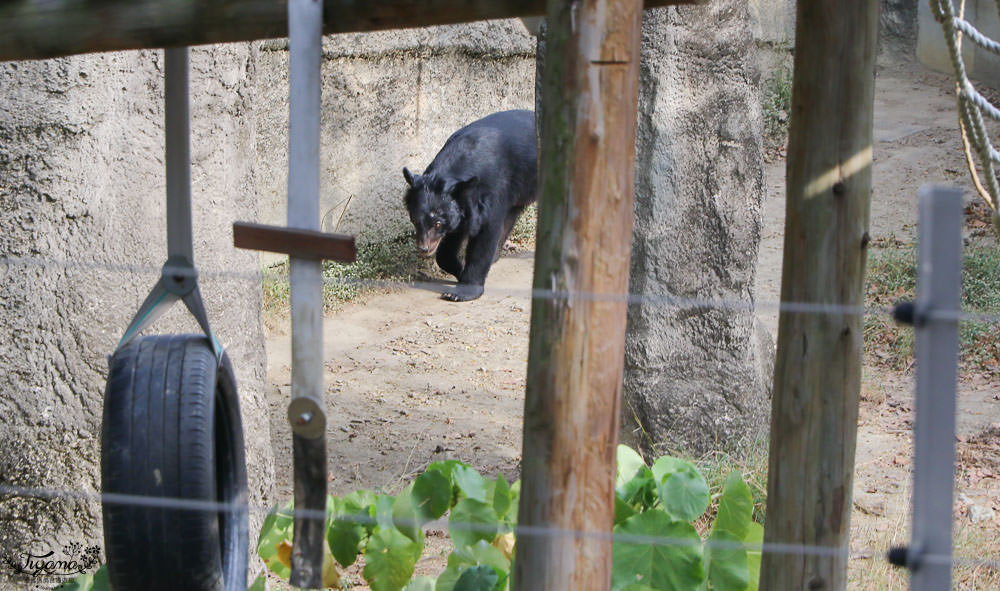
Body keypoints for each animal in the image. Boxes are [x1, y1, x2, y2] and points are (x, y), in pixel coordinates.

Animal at [400, 111, 536, 302]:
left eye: (437, 223)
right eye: (414, 220)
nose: (424, 249)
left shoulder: (491, 191)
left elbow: (485, 234)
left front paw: (460, 291)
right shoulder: (461, 209)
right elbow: (450, 244)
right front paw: (459, 270)